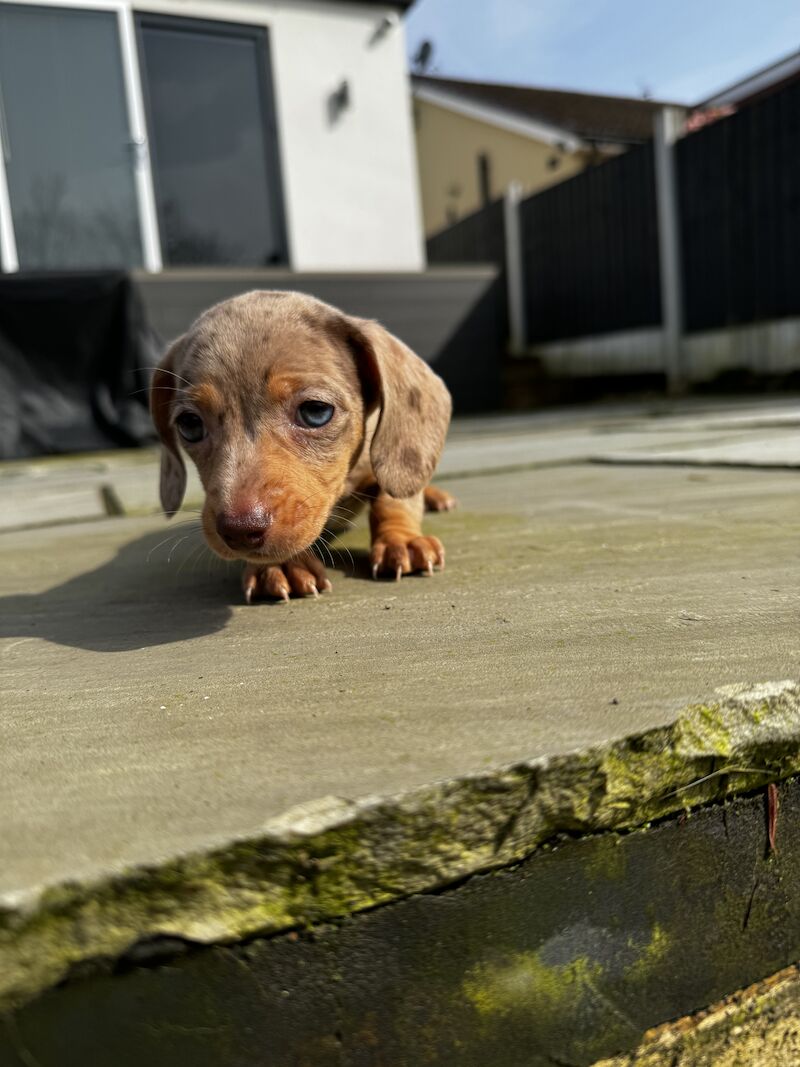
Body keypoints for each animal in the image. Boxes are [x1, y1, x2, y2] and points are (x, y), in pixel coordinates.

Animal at [147, 292, 454, 601]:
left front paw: (402, 540)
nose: (240, 531)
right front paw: (281, 565)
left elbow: (392, 500)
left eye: (315, 411)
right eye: (190, 425)